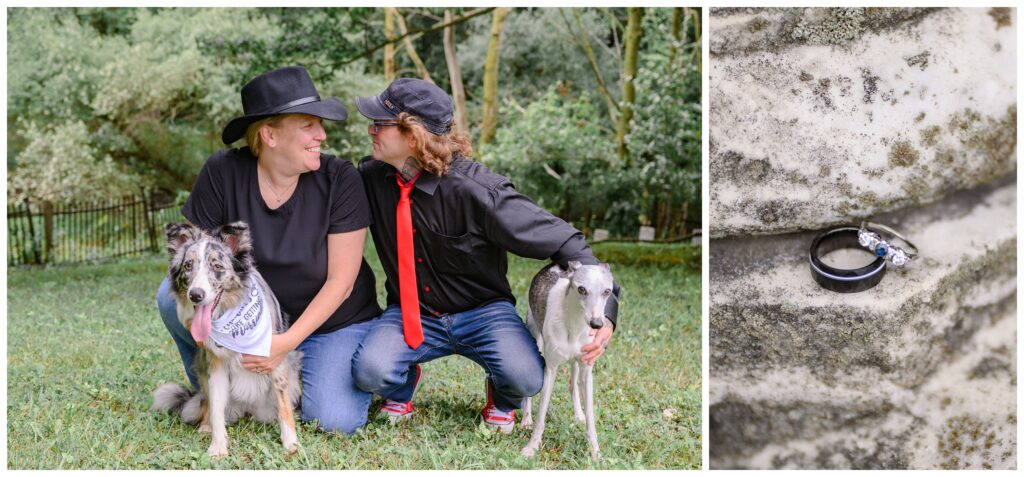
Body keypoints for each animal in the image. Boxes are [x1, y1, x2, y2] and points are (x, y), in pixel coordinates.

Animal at [149, 223, 299, 458]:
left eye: (217, 266)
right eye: (188, 266)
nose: (195, 295)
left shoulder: (277, 361)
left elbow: (284, 407)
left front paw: (291, 442)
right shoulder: (215, 366)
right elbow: (217, 409)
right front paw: (218, 446)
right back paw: (205, 426)